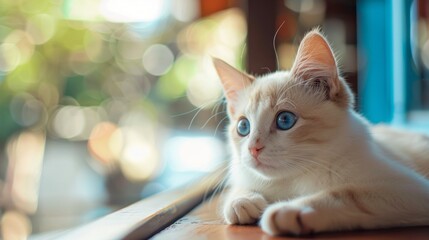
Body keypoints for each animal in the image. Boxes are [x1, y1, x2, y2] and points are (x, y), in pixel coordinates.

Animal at [213, 28, 429, 236]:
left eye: (285, 120)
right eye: (243, 127)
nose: (253, 149)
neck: (292, 180)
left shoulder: (411, 189)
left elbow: (347, 194)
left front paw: (288, 210)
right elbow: (238, 188)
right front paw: (241, 200)